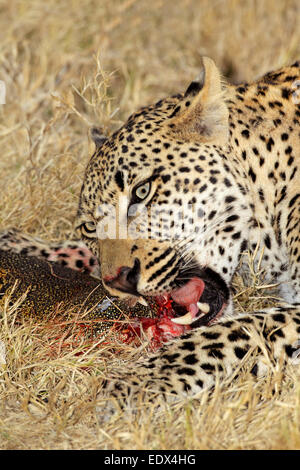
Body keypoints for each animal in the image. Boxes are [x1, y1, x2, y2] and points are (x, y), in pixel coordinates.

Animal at [1, 57, 298, 414]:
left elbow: (233, 331)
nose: (119, 281)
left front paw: (134, 382)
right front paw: (18, 243)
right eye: (89, 228)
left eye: (142, 191)